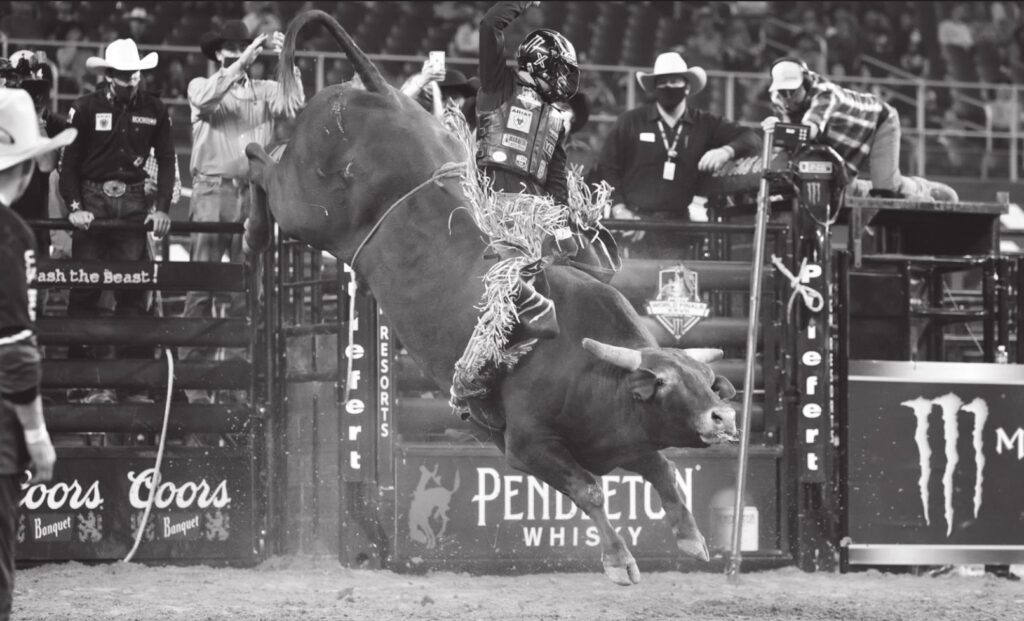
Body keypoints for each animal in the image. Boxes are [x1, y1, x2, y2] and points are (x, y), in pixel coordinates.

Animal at [243, 9, 741, 586]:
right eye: (664, 383)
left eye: (705, 380)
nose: (724, 419)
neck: (586, 366)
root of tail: (379, 90)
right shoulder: (525, 447)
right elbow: (591, 491)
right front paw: (620, 562)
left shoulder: (626, 440)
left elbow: (665, 473)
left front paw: (692, 538)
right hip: (304, 203)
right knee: (259, 161)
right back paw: (252, 232)